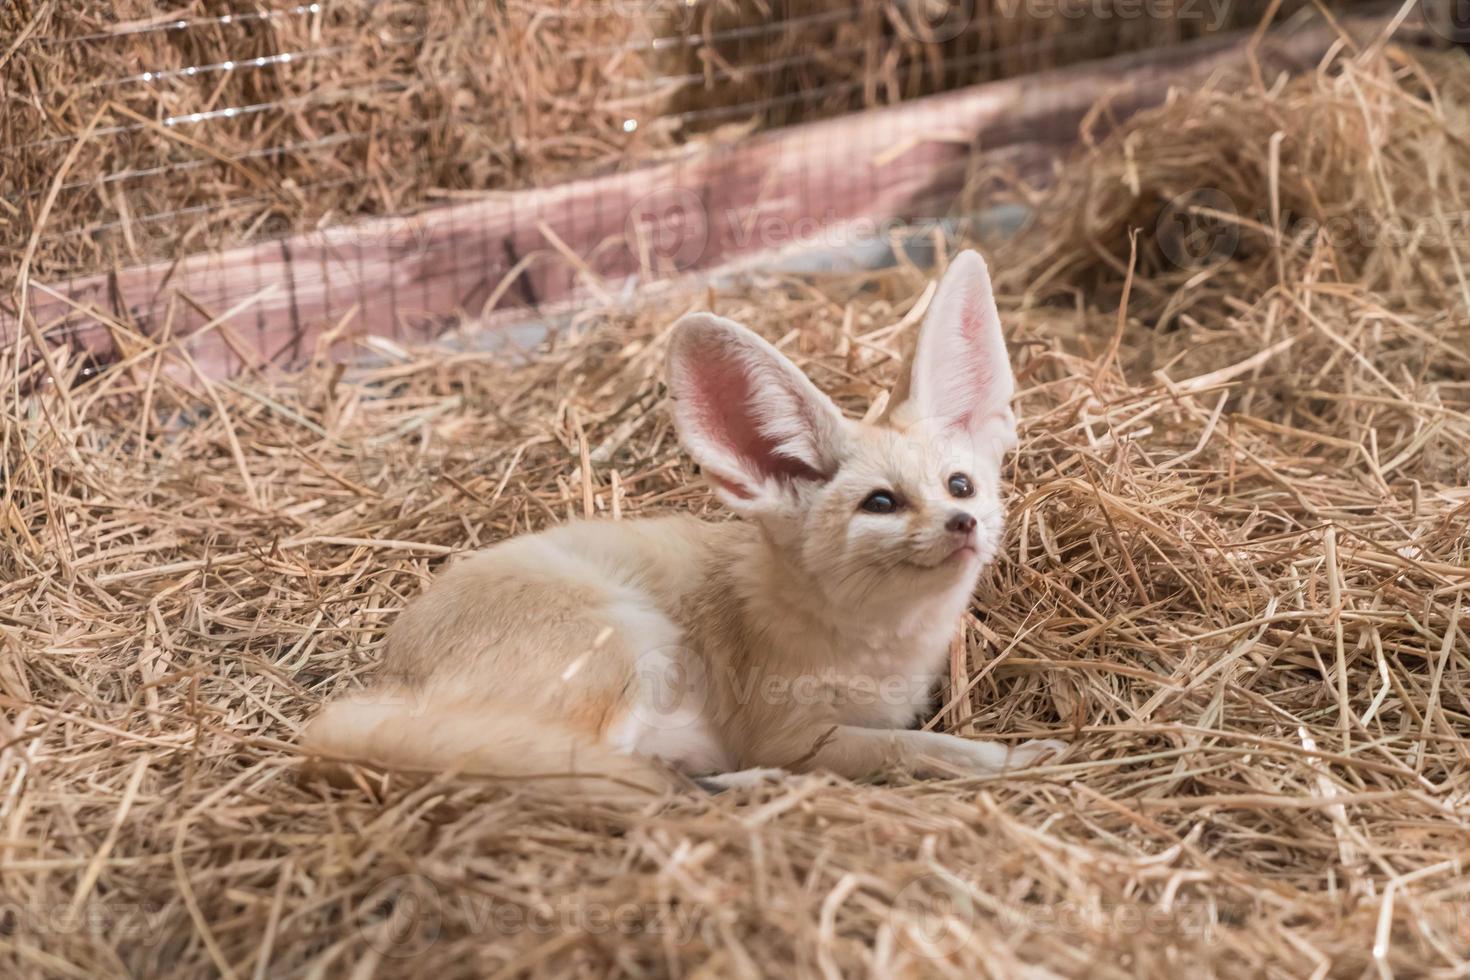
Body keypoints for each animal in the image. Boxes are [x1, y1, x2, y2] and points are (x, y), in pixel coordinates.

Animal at [307, 251, 1070, 799]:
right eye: (880, 503)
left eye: (960, 485)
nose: (962, 522)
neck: (880, 639)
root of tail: (383, 685)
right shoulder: (798, 734)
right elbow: (919, 747)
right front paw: (1013, 758)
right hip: (631, 644)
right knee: (602, 766)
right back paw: (746, 788)